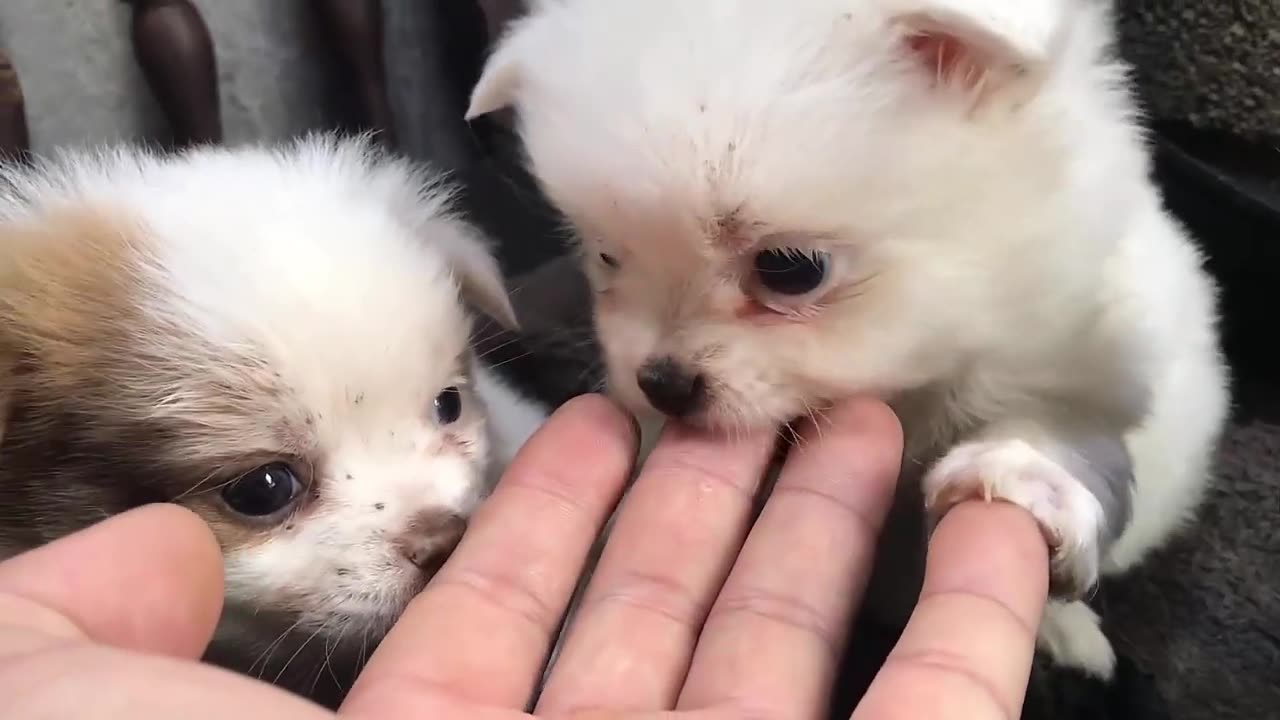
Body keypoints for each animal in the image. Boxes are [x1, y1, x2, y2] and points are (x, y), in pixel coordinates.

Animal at [468, 0, 1228, 676]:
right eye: (606, 257)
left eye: (790, 270)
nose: (662, 384)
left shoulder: (1082, 358)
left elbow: (1073, 433)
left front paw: (1025, 477)